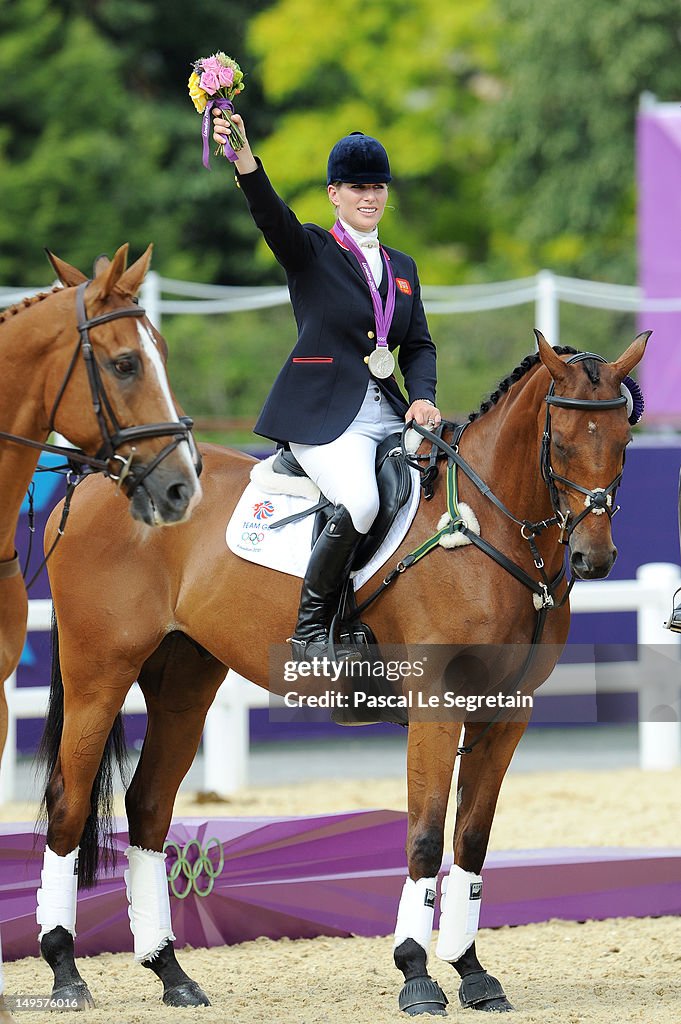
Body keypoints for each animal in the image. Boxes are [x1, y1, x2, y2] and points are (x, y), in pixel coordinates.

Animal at [35, 331, 643, 1011]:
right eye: (559, 442)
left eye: (623, 441)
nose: (593, 558)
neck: (488, 534)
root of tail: (94, 480)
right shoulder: (436, 705)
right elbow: (425, 835)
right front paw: (416, 974)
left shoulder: (507, 713)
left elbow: (472, 840)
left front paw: (472, 972)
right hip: (99, 672)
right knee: (69, 799)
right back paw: (65, 970)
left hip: (184, 682)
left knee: (148, 807)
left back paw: (171, 972)